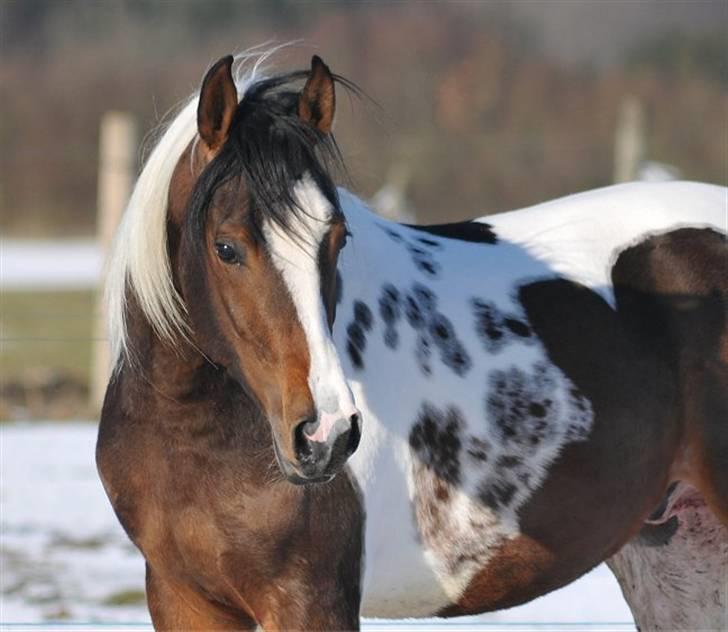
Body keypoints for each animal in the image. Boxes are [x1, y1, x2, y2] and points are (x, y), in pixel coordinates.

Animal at [96, 51, 728, 628]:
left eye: (337, 239)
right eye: (226, 247)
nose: (325, 435)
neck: (194, 432)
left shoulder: (309, 601)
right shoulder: (182, 597)